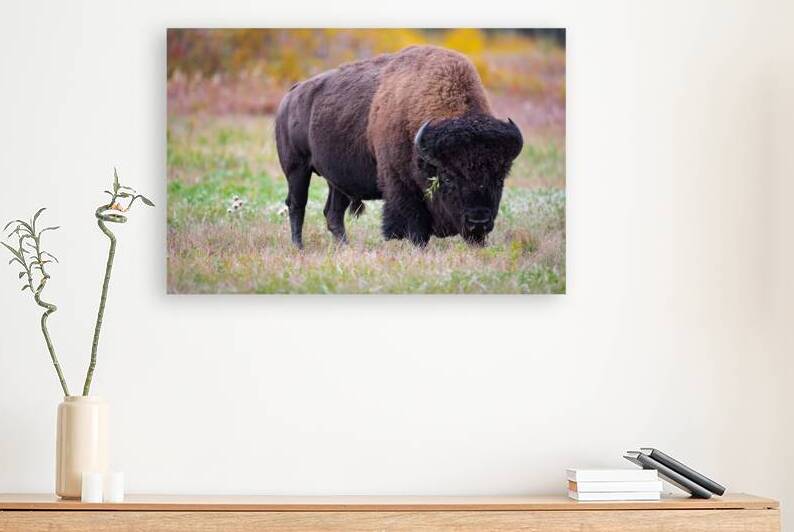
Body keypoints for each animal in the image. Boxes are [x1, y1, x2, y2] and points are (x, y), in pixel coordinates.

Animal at [275, 45, 523, 248]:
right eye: (448, 177)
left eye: (499, 178)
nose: (478, 221)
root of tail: (290, 96)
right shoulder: (401, 185)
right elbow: (416, 225)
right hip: (297, 169)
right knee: (297, 205)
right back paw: (299, 247)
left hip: (337, 181)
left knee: (333, 213)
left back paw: (345, 248)